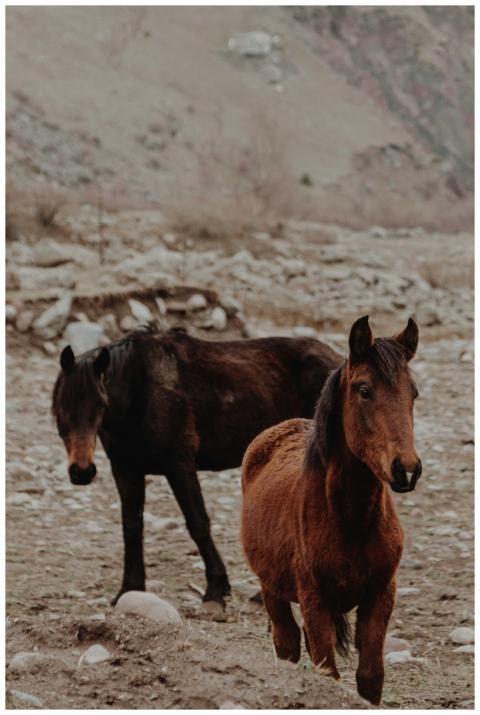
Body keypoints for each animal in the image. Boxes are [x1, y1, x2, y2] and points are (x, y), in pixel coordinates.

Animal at [52, 323, 341, 606]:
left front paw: (216, 588)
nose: (82, 471)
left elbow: (198, 523)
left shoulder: (179, 464)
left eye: (101, 404)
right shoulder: (125, 469)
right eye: (61, 406)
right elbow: (131, 527)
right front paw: (129, 588)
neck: (139, 393)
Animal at [241, 316, 422, 705]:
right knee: (287, 644)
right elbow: (328, 673)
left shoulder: (381, 594)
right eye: (364, 389)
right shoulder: (315, 600)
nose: (407, 469)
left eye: (413, 393)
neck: (351, 520)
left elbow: (370, 676)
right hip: (272, 590)